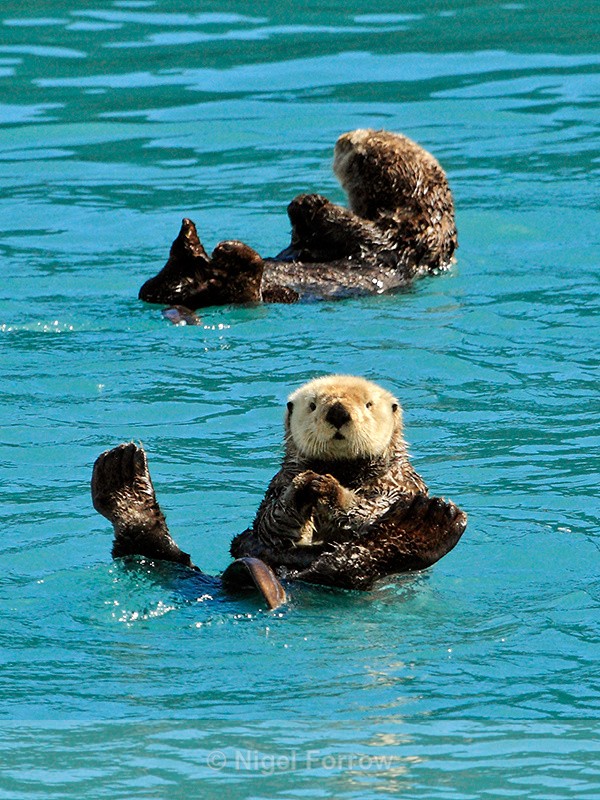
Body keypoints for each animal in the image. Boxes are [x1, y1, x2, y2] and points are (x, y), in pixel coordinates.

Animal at [91, 376, 466, 604]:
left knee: (352, 566)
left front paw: (331, 490)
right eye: (314, 405)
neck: (343, 469)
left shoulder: (400, 484)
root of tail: (290, 581)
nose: (338, 411)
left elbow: (372, 512)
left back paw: (426, 523)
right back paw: (123, 478)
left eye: (368, 405)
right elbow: (272, 522)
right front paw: (305, 490)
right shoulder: (278, 482)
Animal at [139, 129, 457, 311]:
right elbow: (303, 240)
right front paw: (300, 205)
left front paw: (310, 201)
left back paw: (230, 251)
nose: (343, 139)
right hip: (168, 286)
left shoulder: (403, 239)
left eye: (362, 151)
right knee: (152, 288)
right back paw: (188, 240)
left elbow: (362, 231)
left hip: (268, 294)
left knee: (244, 291)